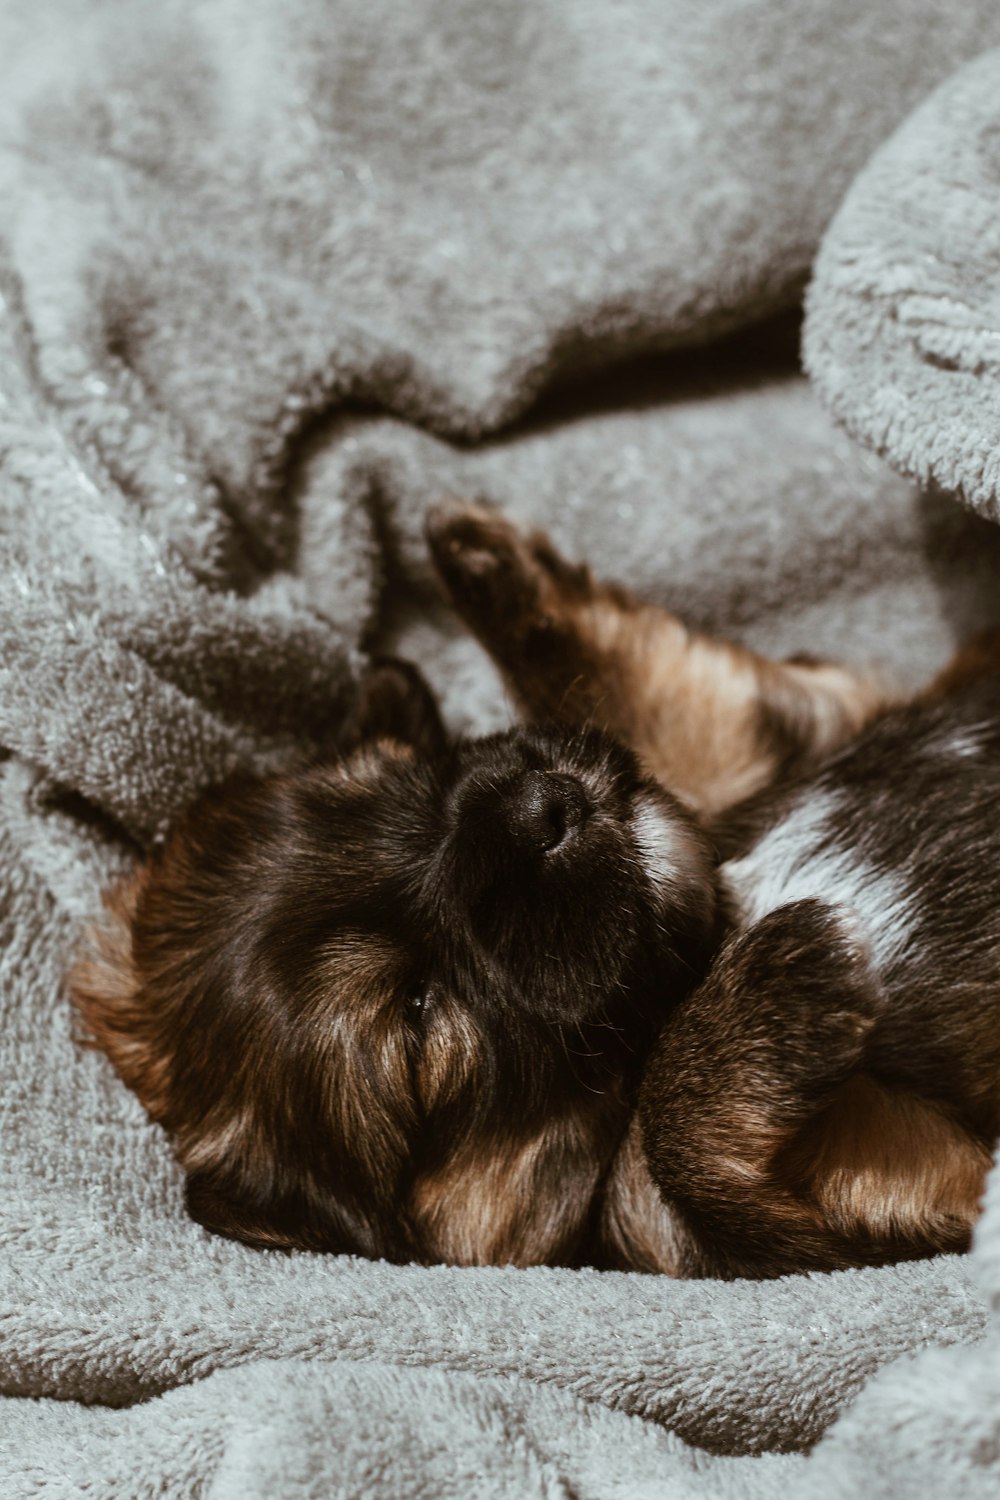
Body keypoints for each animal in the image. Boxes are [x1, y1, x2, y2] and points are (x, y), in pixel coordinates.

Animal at [68, 504, 881, 1266]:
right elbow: (674, 1156)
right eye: (416, 1013)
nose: (542, 807)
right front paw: (772, 1001)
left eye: (399, 783)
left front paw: (497, 568)